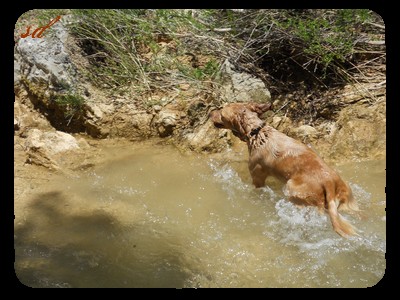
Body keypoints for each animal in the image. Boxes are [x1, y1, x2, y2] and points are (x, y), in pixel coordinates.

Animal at [209, 102, 360, 237]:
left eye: (221, 113)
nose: (210, 113)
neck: (257, 133)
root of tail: (329, 183)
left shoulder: (257, 177)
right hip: (347, 198)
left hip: (291, 188)